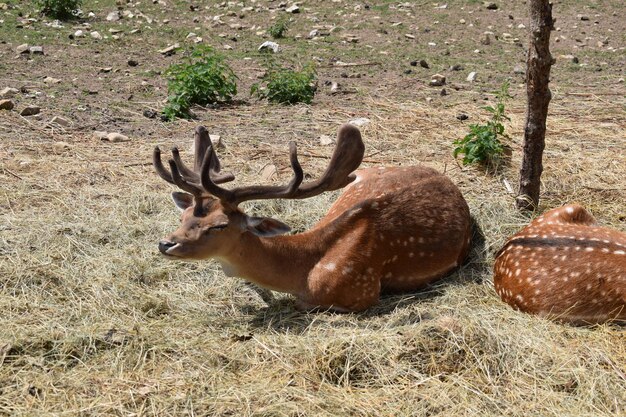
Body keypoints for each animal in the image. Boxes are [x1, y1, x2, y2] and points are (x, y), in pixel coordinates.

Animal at [154, 124, 470, 312]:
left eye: (219, 226)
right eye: (183, 216)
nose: (165, 244)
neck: (303, 275)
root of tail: (443, 176)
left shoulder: (363, 294)